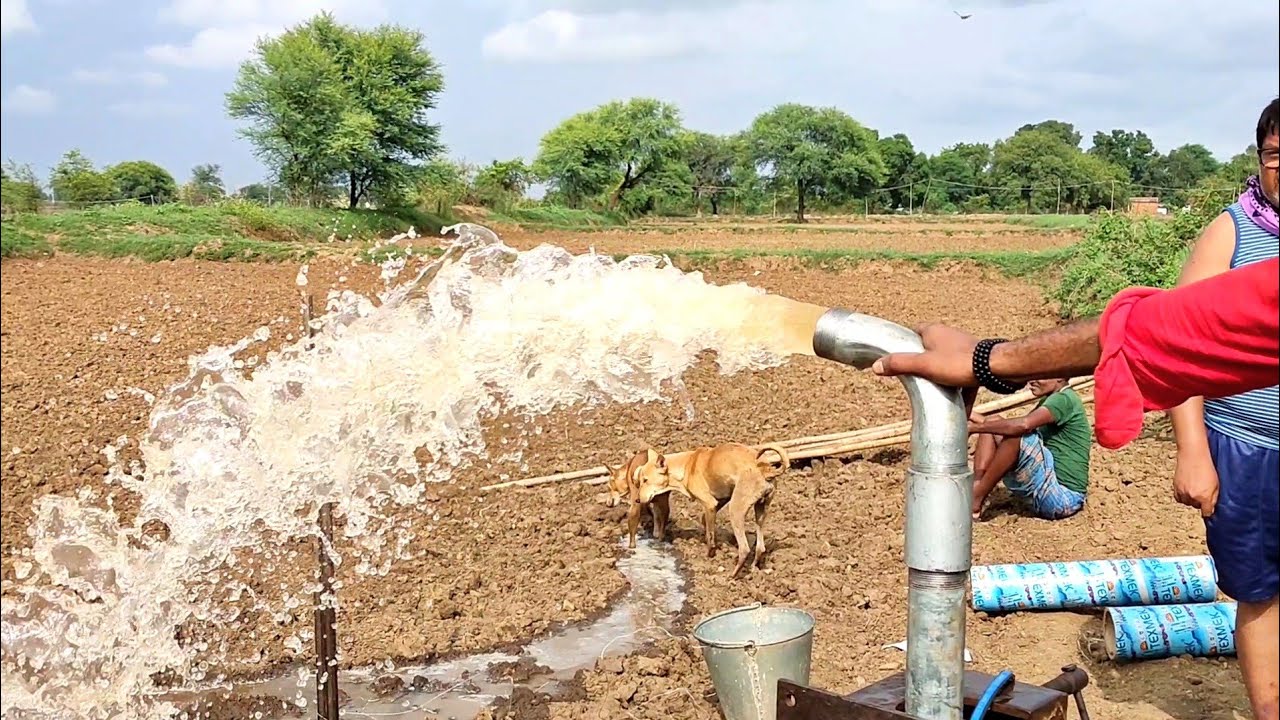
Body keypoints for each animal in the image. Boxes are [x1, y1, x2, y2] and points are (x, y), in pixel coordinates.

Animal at [636, 443, 790, 577]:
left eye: (645, 480)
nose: (637, 500)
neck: (686, 465)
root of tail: (766, 470)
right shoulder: (720, 500)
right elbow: (706, 523)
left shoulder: (709, 503)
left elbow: (710, 537)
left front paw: (709, 555)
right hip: (761, 510)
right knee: (760, 547)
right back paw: (753, 569)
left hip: (736, 511)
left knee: (744, 548)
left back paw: (732, 576)